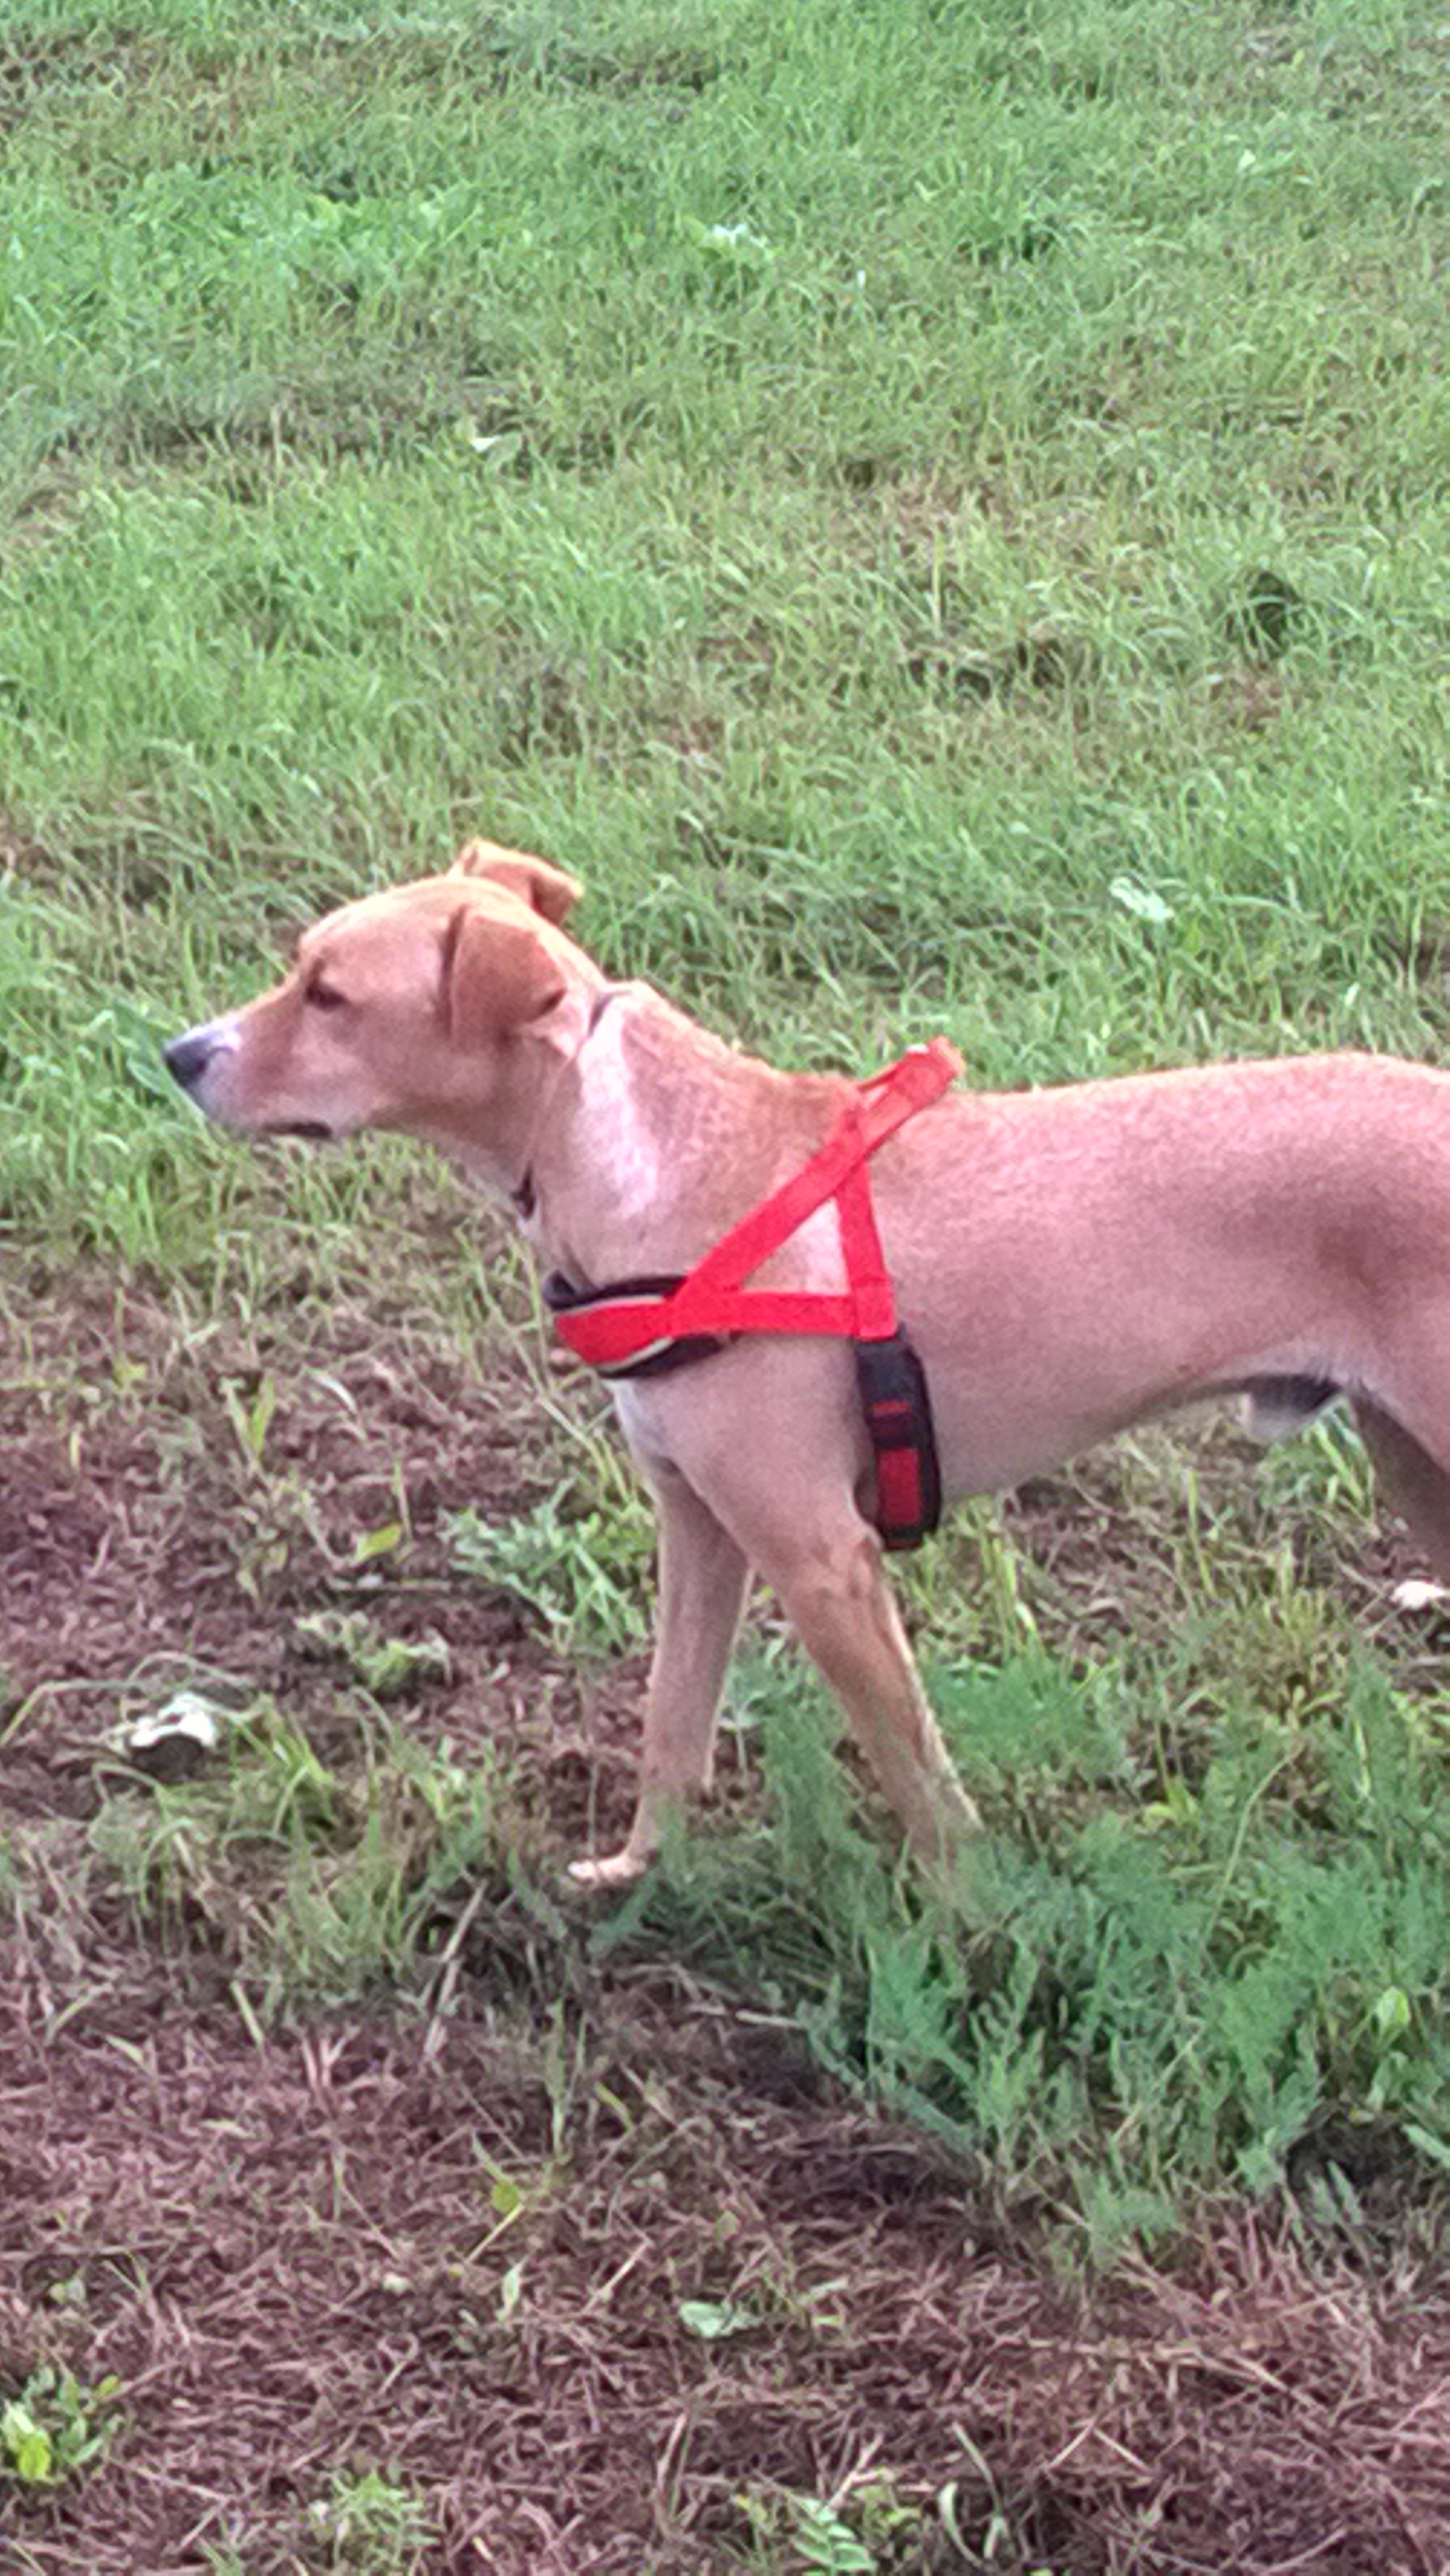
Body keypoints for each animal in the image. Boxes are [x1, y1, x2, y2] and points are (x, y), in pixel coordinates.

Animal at [165, 840, 1450, 1890]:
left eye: (330, 995)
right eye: (300, 969)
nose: (175, 1053)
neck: (639, 1150)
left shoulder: (823, 1558)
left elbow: (923, 1788)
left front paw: (973, 1935)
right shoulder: (700, 1527)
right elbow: (671, 1725)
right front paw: (639, 1882)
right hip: (1413, 1469)